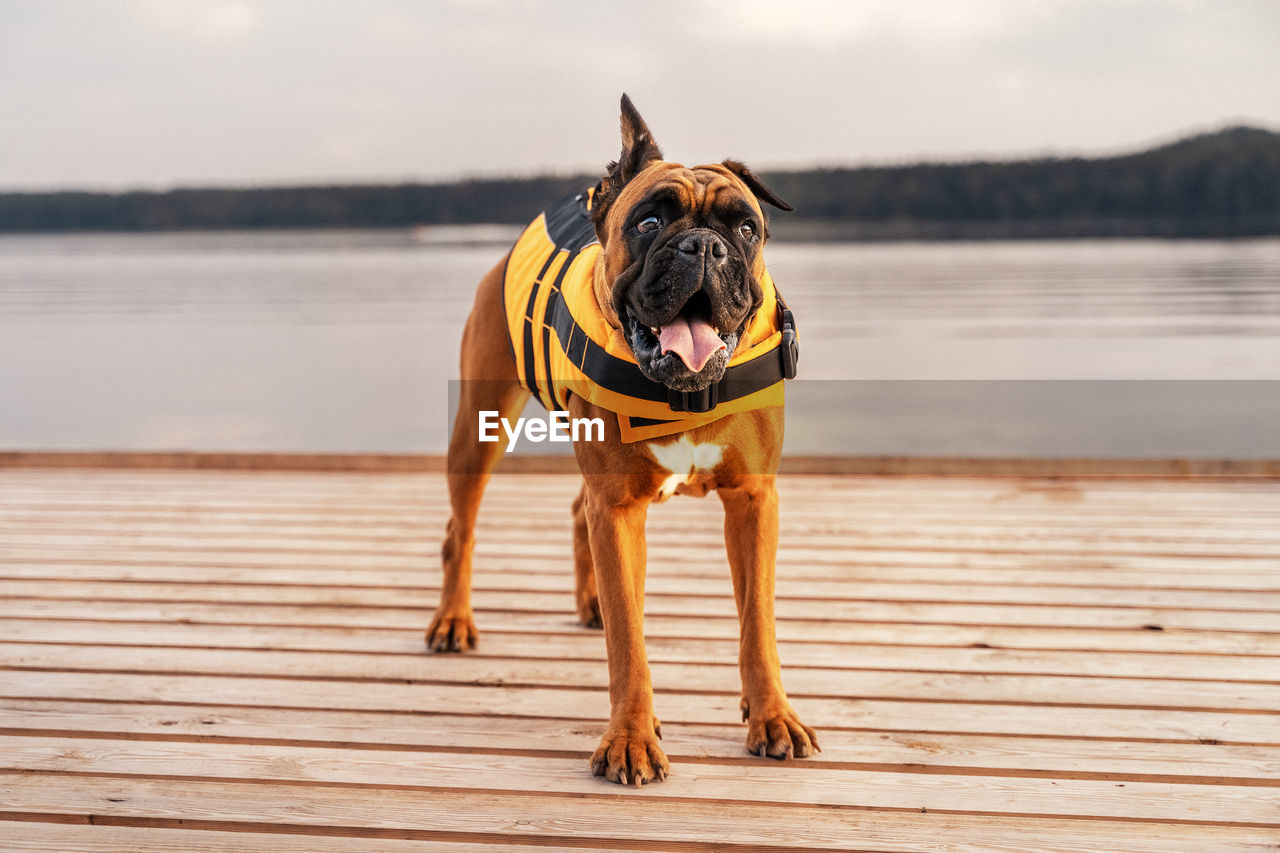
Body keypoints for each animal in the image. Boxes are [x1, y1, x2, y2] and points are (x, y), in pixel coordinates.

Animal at [424, 94, 814, 783]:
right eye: (649, 220)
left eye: (746, 229)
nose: (702, 247)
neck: (688, 389)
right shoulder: (621, 506)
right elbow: (630, 643)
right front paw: (631, 738)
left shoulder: (752, 501)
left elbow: (757, 625)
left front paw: (771, 716)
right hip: (479, 428)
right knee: (459, 530)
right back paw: (452, 620)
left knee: (578, 512)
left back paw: (591, 603)